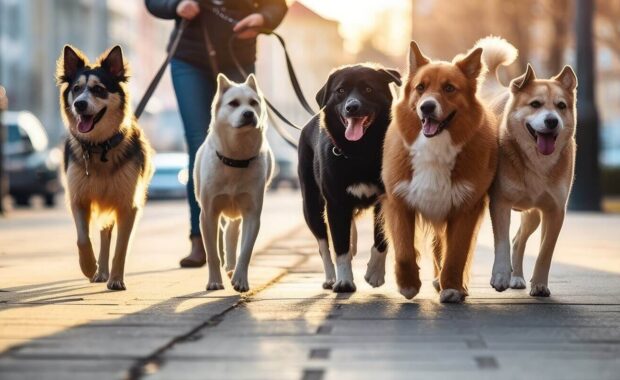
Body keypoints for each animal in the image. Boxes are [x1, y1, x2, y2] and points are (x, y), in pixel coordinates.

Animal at [56, 45, 154, 290]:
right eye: (76, 89)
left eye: (98, 89)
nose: (79, 104)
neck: (99, 147)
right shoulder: (78, 197)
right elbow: (82, 238)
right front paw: (89, 267)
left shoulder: (127, 204)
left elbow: (121, 246)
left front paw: (116, 279)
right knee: (102, 234)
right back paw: (99, 271)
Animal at [193, 74, 272, 292]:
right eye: (233, 103)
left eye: (253, 103)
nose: (248, 114)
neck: (236, 159)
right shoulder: (208, 214)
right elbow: (212, 253)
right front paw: (214, 281)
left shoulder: (252, 214)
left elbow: (245, 251)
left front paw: (240, 279)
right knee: (222, 236)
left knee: (231, 233)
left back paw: (231, 267)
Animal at [296, 63, 402, 292]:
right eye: (341, 91)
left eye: (368, 89)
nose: (352, 107)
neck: (360, 151)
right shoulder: (335, 205)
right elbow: (340, 247)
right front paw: (344, 281)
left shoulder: (386, 200)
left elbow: (381, 240)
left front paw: (375, 273)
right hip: (311, 205)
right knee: (324, 245)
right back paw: (330, 278)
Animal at [382, 41, 498, 302]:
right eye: (420, 88)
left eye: (449, 88)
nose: (426, 107)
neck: (434, 147)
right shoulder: (398, 202)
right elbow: (404, 251)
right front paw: (408, 283)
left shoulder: (466, 208)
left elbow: (456, 254)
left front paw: (453, 287)